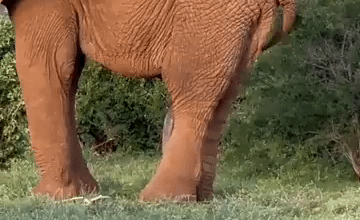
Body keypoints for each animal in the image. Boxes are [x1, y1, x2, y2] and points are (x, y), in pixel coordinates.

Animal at [0, 0, 296, 202]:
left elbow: (47, 64)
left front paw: (51, 197)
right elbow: (66, 70)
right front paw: (84, 192)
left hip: (212, 15)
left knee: (188, 86)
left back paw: (161, 199)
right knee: (221, 97)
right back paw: (199, 199)